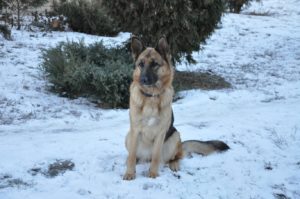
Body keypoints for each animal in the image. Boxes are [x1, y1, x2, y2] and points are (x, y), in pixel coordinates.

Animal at [123, 35, 229, 180]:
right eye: (141, 64)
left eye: (154, 64)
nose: (143, 80)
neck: (151, 97)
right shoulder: (135, 130)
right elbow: (132, 156)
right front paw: (129, 173)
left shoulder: (161, 133)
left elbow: (156, 156)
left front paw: (153, 173)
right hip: (128, 137)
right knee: (135, 156)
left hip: (175, 136)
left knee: (174, 157)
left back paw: (174, 165)